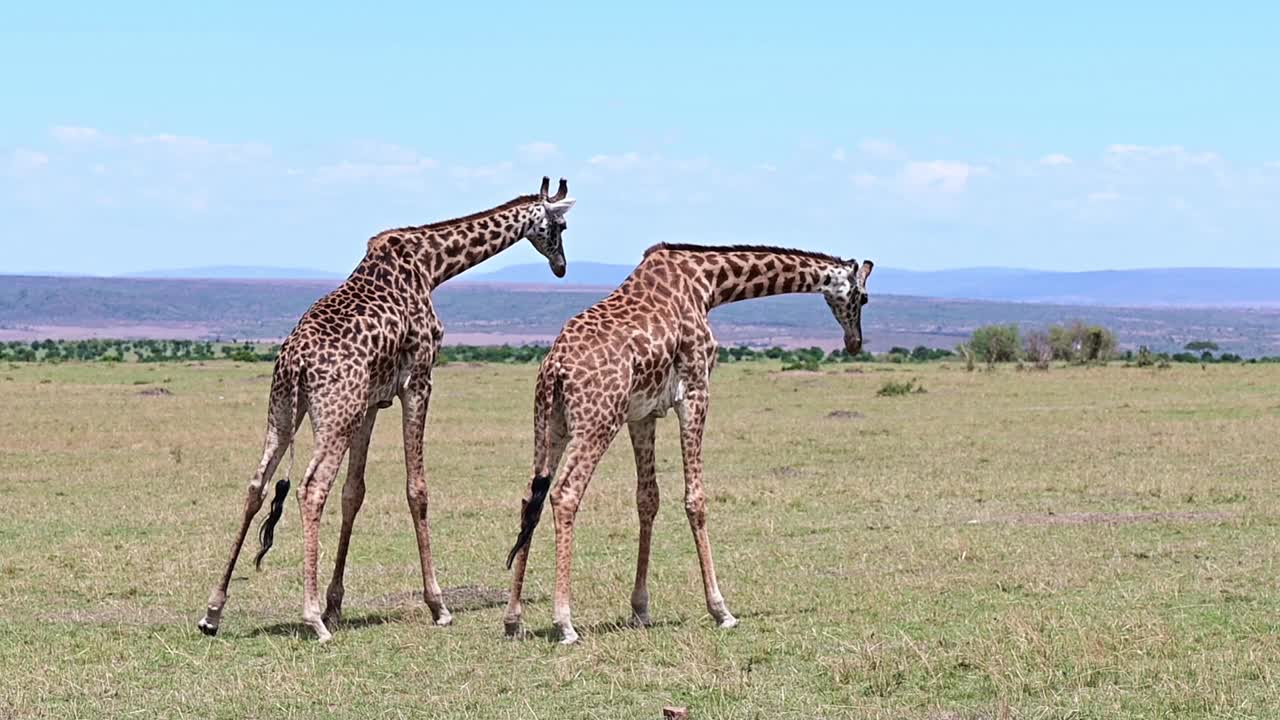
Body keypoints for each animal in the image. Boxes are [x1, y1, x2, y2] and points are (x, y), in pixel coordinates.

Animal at [197, 176, 578, 635]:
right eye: (560, 227)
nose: (561, 267)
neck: (433, 265)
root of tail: (296, 363)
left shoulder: (370, 404)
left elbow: (353, 493)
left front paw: (336, 604)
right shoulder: (419, 380)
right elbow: (417, 489)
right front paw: (438, 605)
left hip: (285, 412)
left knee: (256, 486)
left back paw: (213, 611)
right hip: (334, 416)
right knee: (311, 488)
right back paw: (312, 619)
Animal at [499, 242, 870, 645]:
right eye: (864, 297)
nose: (854, 342)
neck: (708, 284)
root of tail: (555, 367)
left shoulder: (642, 414)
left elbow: (647, 499)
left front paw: (640, 609)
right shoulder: (695, 392)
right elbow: (696, 499)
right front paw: (721, 610)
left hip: (549, 426)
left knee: (530, 499)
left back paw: (513, 618)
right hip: (597, 422)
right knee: (565, 494)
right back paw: (564, 622)